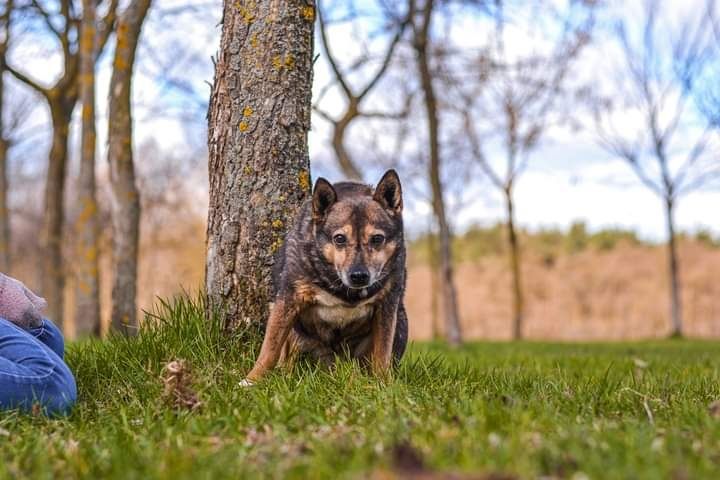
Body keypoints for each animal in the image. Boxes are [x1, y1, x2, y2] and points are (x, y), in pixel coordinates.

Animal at [242, 171, 408, 384]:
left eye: (377, 239)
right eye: (339, 239)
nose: (359, 276)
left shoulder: (387, 304)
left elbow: (382, 352)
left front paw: (383, 383)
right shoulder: (288, 299)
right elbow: (270, 347)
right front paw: (251, 380)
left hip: (401, 321)